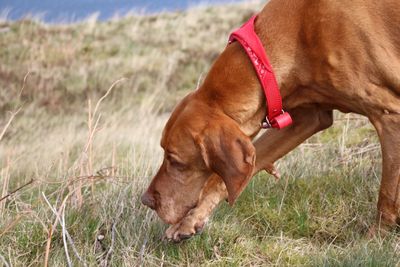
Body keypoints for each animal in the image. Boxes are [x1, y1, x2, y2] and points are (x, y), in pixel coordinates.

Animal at [141, 0, 400, 243]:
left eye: (175, 160)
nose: (146, 201)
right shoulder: (307, 118)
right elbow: (221, 178)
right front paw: (189, 221)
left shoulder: (389, 115)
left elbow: (387, 193)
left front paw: (377, 236)